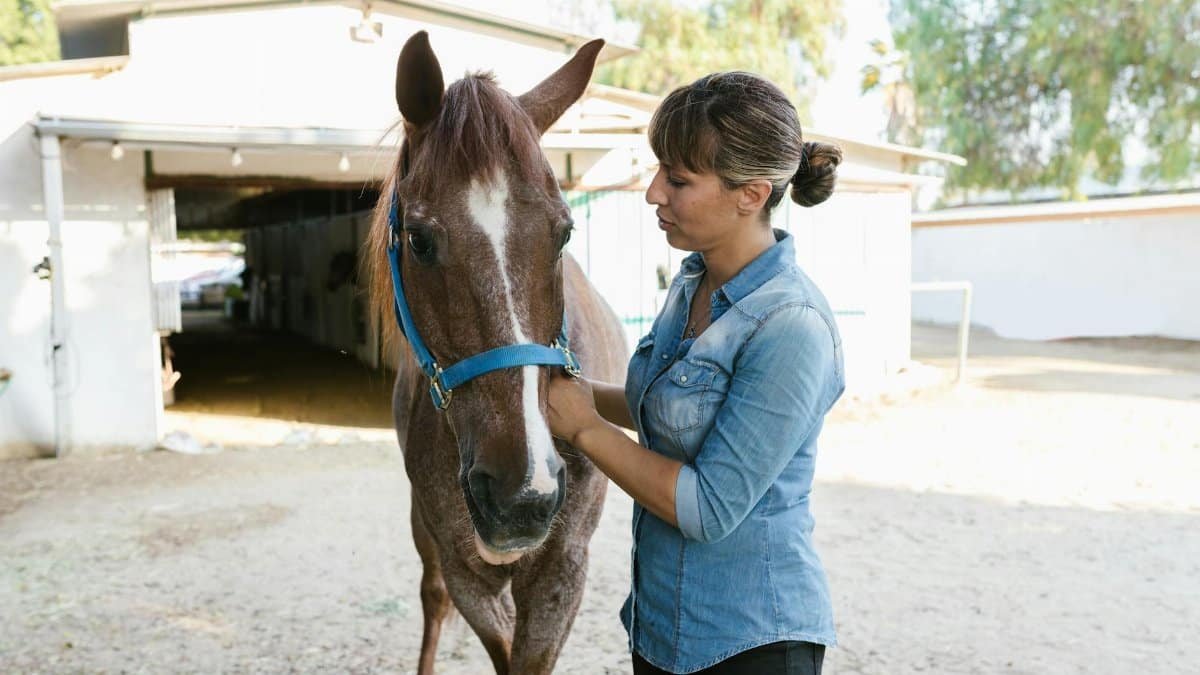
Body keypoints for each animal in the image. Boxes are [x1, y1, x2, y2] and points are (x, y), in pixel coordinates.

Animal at [363, 32, 629, 674]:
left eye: (563, 232)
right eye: (419, 240)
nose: (521, 494)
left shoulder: (562, 570)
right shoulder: (467, 571)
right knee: (431, 597)